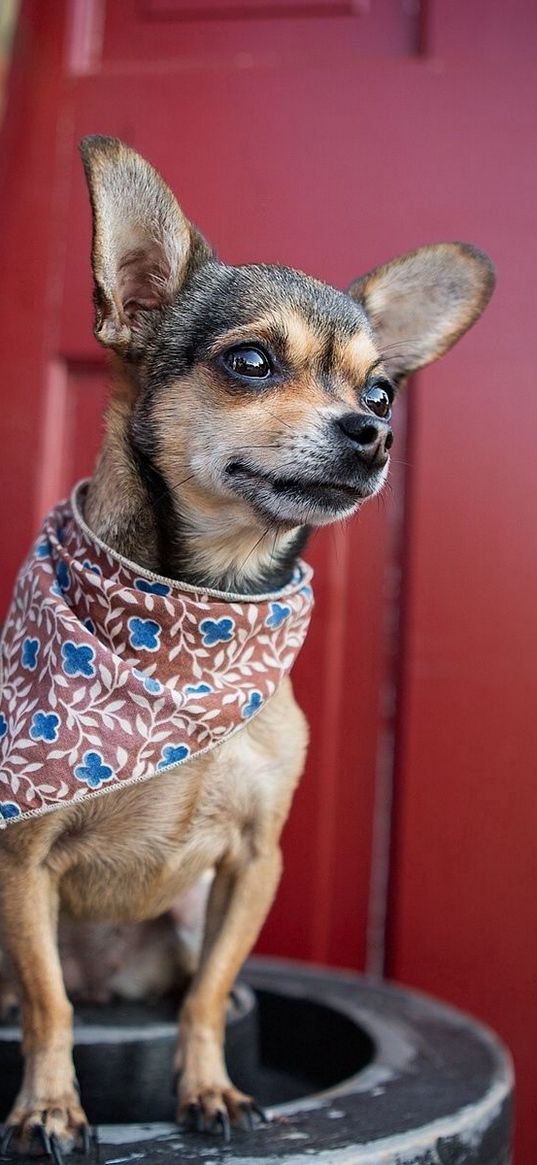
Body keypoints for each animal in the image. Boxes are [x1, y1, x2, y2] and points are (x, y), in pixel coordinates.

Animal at [0, 136, 493, 1155]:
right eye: (252, 361)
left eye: (382, 389)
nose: (373, 432)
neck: (203, 609)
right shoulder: (23, 864)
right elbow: (48, 1005)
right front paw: (50, 1107)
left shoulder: (252, 860)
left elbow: (206, 992)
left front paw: (211, 1088)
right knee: (51, 992)